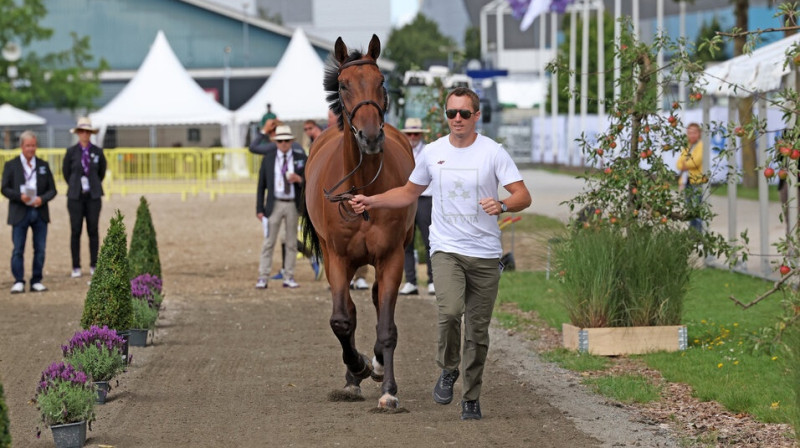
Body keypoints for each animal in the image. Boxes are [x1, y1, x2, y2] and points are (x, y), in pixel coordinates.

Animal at [304, 33, 416, 408]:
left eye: (381, 81)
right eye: (343, 85)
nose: (370, 137)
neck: (364, 186)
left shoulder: (391, 256)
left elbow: (387, 326)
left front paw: (387, 388)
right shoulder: (337, 257)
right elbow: (341, 320)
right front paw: (357, 368)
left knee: (379, 301)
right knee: (349, 313)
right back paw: (353, 377)